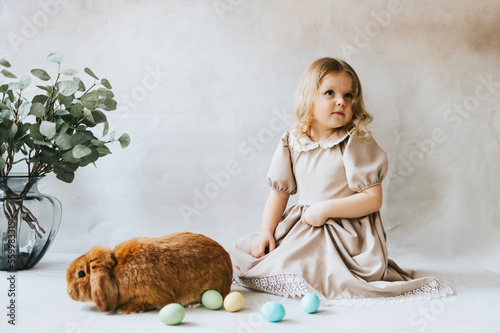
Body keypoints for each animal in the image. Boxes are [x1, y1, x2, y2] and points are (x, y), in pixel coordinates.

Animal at [65, 232, 234, 312]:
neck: (114, 272)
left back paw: (193, 304)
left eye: (81, 274)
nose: (69, 293)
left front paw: (127, 310)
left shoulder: (149, 295)